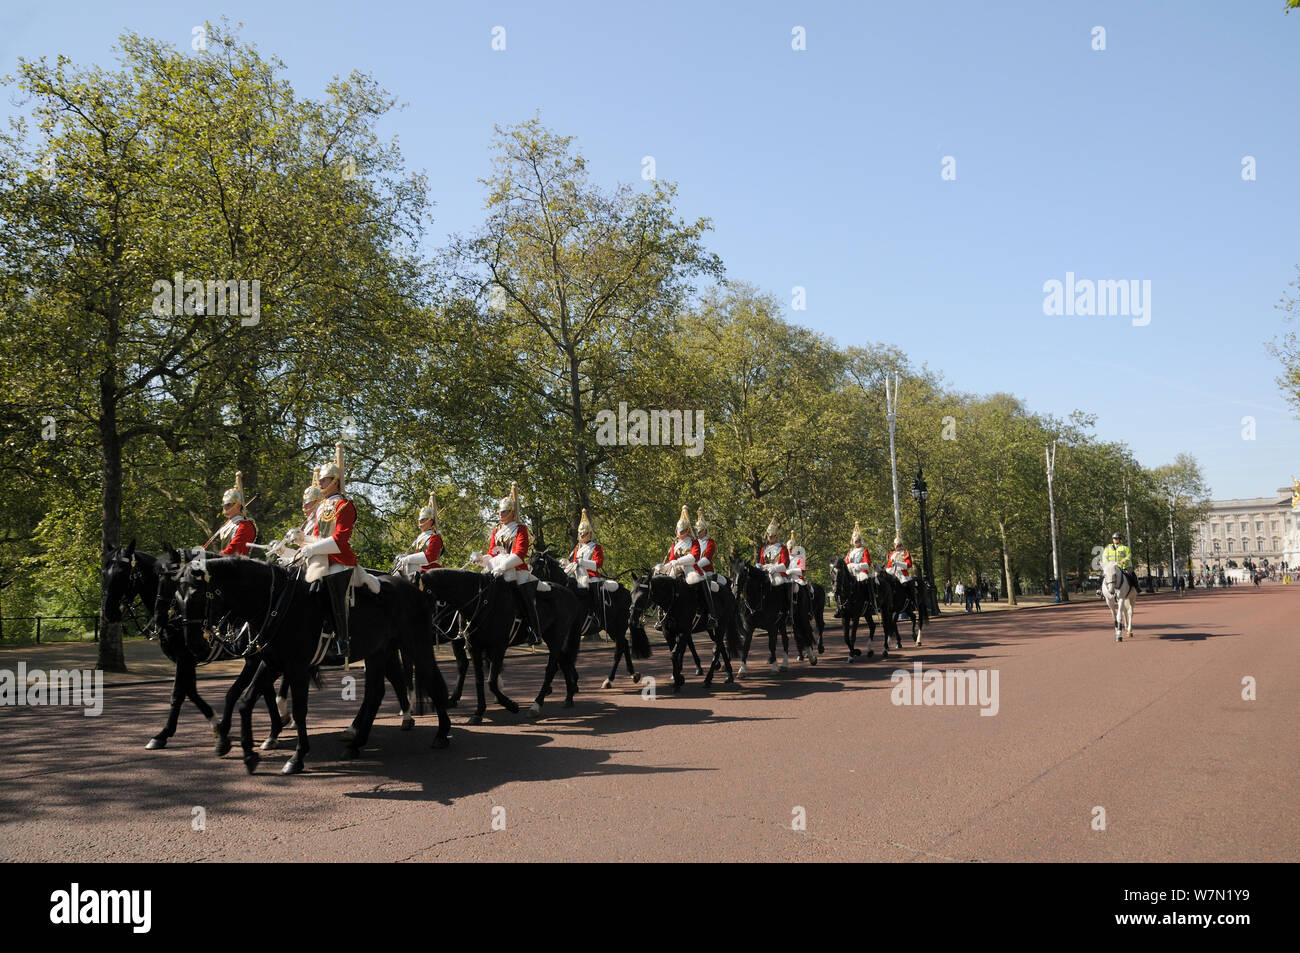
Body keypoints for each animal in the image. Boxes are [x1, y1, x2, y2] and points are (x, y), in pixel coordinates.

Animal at [174, 556, 452, 774]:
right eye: (177, 598)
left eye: (196, 597)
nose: (193, 645)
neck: (276, 602)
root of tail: (416, 589)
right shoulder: (271, 663)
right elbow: (245, 701)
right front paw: (249, 754)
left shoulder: (296, 667)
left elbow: (299, 711)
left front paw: (296, 757)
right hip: (378, 652)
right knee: (376, 694)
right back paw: (356, 744)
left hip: (416, 645)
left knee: (432, 681)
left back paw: (441, 734)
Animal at [527, 546, 650, 686]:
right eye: (529, 562)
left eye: (538, 564)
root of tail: (628, 593)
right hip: (612, 628)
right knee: (624, 644)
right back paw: (632, 674)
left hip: (617, 627)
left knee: (619, 649)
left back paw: (609, 679)